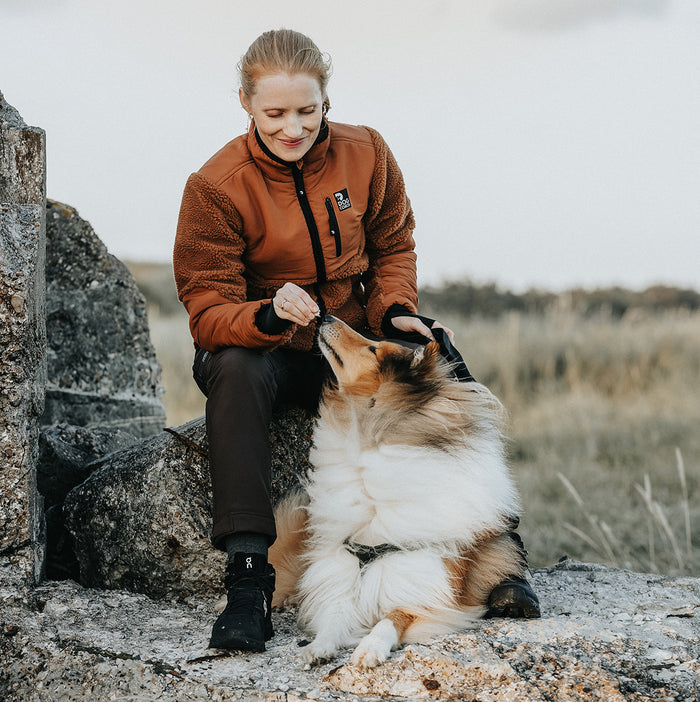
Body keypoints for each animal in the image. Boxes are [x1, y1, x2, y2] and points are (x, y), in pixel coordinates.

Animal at [268, 316, 524, 668]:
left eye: (374, 348)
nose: (326, 317)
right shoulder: (340, 568)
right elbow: (334, 614)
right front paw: (319, 646)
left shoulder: (426, 588)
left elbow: (392, 617)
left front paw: (370, 649)